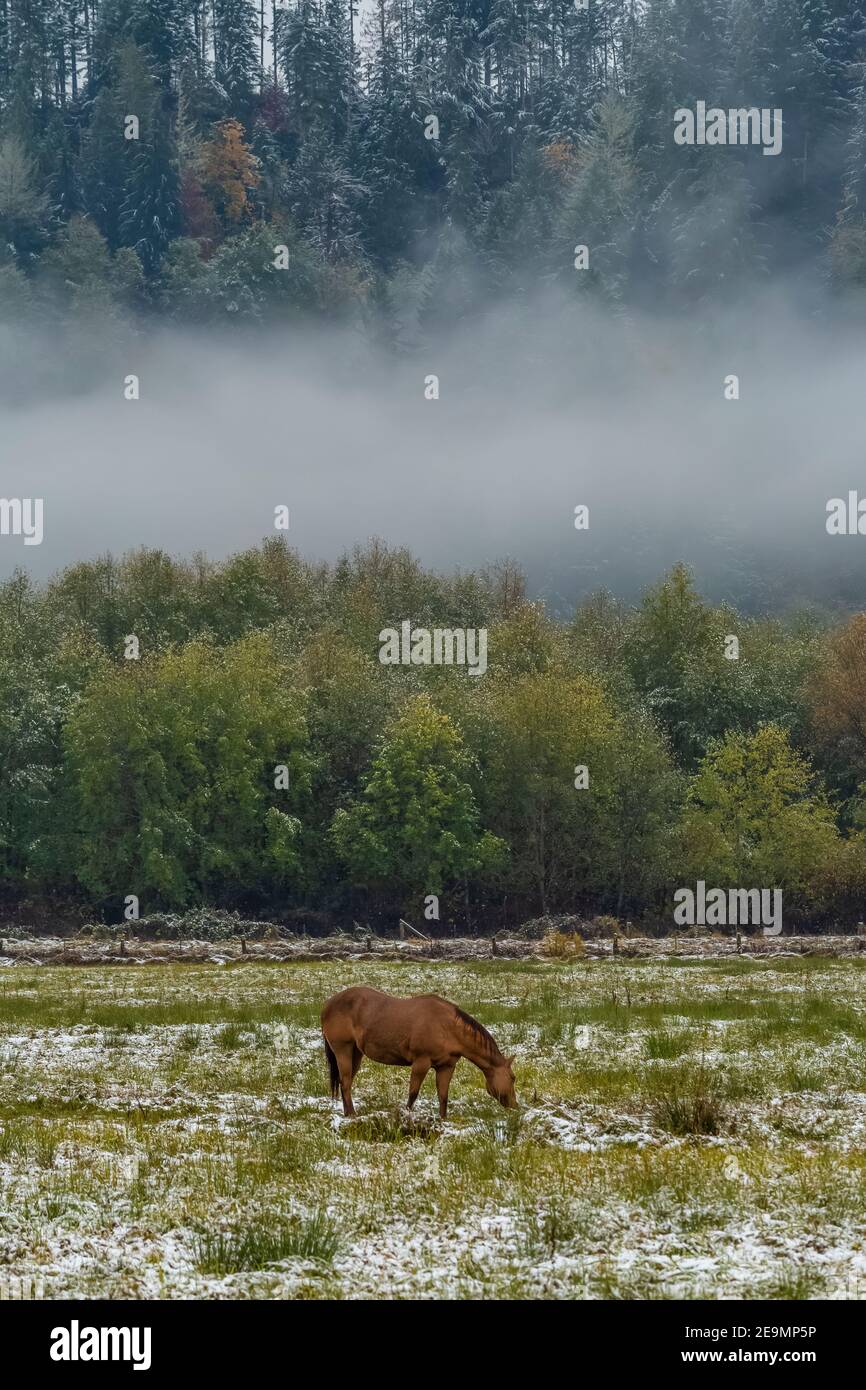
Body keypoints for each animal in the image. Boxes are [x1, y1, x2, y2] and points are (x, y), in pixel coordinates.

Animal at [321, 986, 517, 1119]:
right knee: (346, 1082)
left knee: (345, 1082)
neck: (447, 1027)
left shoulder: (446, 1067)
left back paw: (347, 1113)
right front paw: (406, 1117)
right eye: (513, 1078)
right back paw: (352, 1114)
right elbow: (413, 1094)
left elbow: (443, 1096)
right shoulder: (421, 1063)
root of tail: (328, 1004)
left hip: (356, 1053)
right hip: (343, 1049)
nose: (515, 1106)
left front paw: (443, 1120)